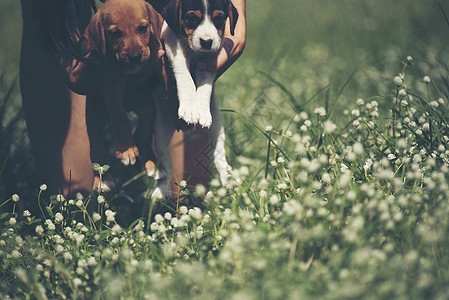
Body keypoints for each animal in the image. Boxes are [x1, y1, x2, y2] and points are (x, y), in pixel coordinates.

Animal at [65, 0, 165, 192]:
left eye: (143, 28)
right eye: (116, 34)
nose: (135, 56)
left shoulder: (159, 59)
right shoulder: (111, 87)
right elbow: (120, 119)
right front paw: (126, 150)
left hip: (146, 106)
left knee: (143, 134)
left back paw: (153, 166)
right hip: (95, 116)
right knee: (95, 147)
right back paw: (103, 180)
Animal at [152, 0, 238, 198]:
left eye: (219, 18)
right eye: (191, 18)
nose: (207, 41)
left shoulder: (210, 61)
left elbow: (204, 86)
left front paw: (200, 110)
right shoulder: (172, 44)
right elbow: (185, 78)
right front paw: (190, 109)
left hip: (217, 129)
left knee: (219, 154)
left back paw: (229, 180)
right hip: (161, 134)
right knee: (166, 165)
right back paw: (161, 190)